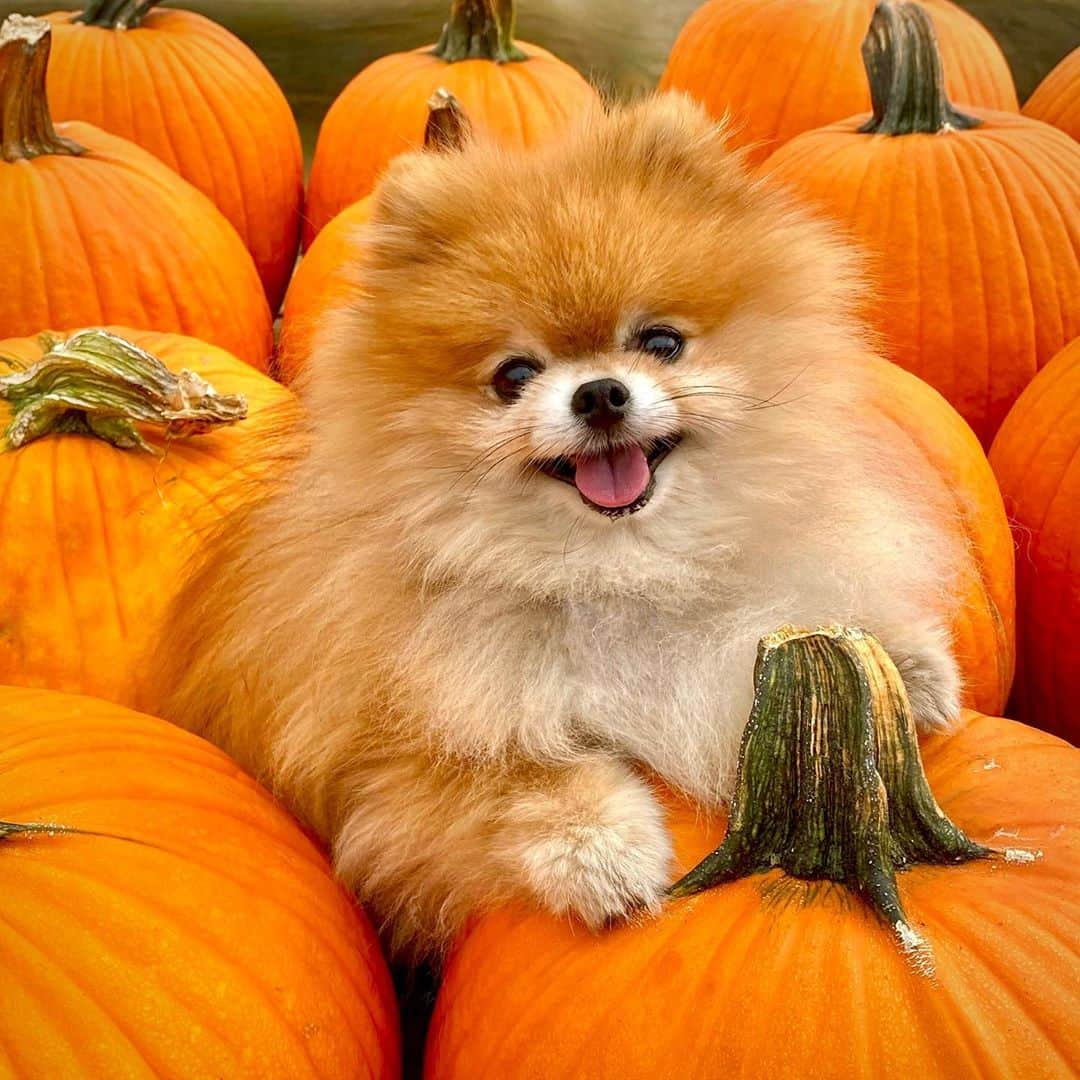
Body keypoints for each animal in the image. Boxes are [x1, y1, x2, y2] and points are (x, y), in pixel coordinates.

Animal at [164, 90, 967, 954]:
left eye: (660, 342)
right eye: (514, 375)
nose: (601, 393)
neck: (616, 569)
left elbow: (828, 640)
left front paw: (907, 665)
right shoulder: (377, 757)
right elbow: (521, 771)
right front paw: (602, 853)